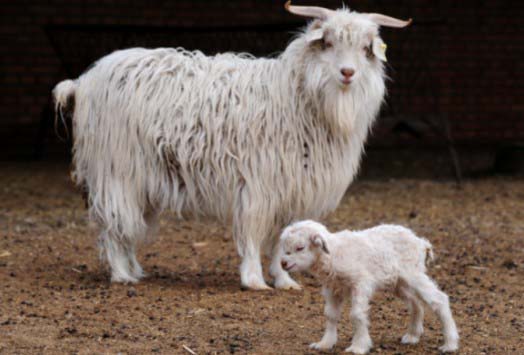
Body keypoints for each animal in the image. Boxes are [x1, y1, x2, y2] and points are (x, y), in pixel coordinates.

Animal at [53, 2, 414, 290]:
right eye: (326, 42)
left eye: (367, 48)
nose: (348, 72)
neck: (295, 96)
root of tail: (82, 82)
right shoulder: (258, 185)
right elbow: (254, 234)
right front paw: (254, 280)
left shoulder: (289, 188)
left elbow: (282, 238)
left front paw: (284, 280)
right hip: (115, 170)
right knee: (113, 224)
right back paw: (121, 275)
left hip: (141, 178)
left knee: (126, 224)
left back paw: (134, 270)